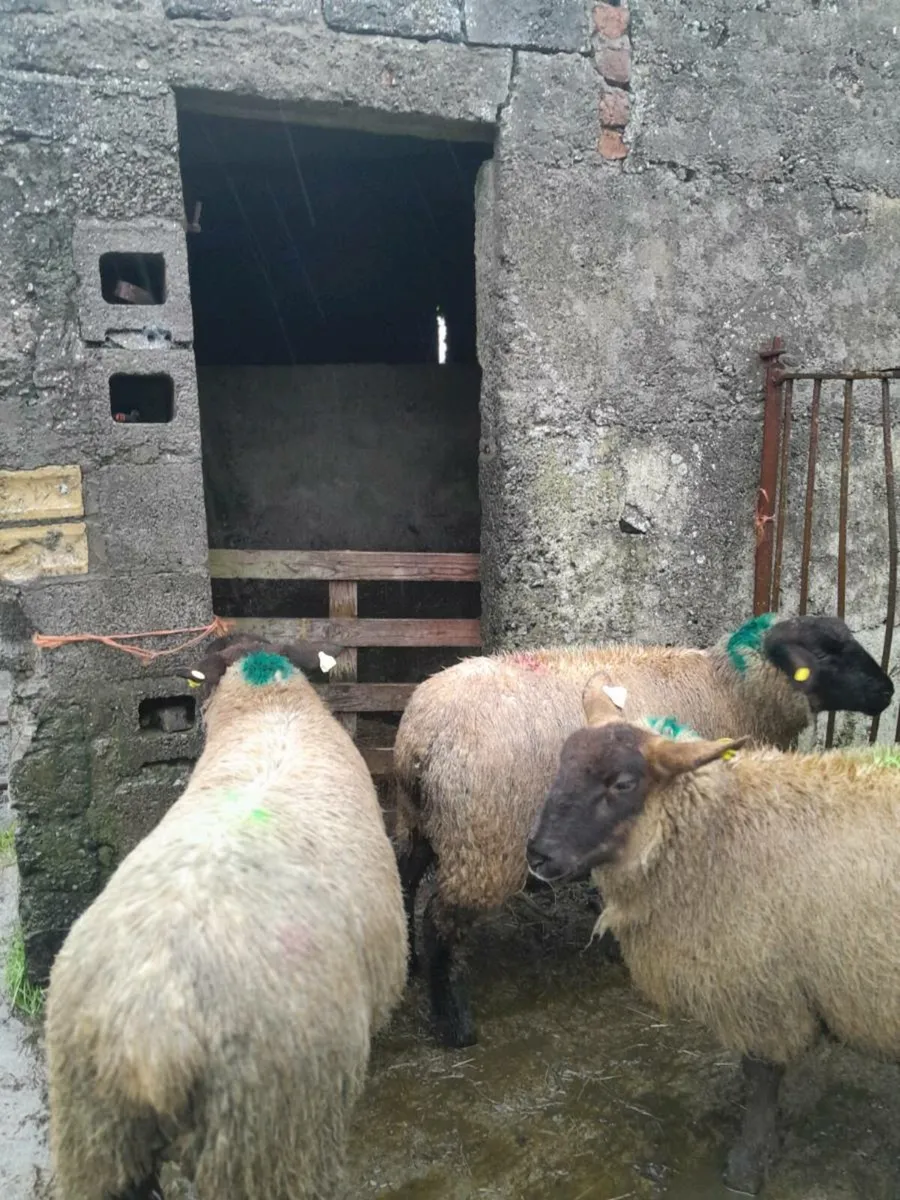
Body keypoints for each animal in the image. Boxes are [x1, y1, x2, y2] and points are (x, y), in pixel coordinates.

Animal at [393, 613, 893, 1048]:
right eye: (825, 653)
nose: (887, 691)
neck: (730, 688)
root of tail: (419, 738)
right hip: (481, 842)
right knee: (441, 922)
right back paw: (454, 1026)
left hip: (423, 823)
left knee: (404, 879)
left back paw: (410, 964)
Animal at [526, 709, 900, 1194]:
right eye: (562, 765)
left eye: (623, 783)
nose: (536, 855)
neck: (717, 828)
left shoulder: (759, 986)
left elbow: (761, 1075)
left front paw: (748, 1160)